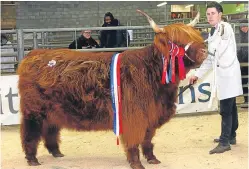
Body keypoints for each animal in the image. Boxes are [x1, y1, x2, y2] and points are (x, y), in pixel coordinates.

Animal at [17, 10, 207, 169]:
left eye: (196, 35)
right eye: (177, 41)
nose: (205, 51)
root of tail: (32, 55)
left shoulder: (151, 115)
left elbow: (147, 140)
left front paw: (152, 158)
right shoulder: (134, 116)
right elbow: (134, 141)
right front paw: (137, 164)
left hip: (52, 111)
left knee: (50, 130)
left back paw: (57, 152)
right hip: (34, 110)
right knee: (30, 132)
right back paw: (32, 159)